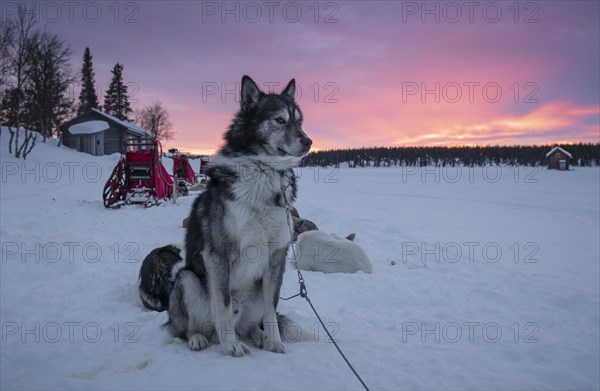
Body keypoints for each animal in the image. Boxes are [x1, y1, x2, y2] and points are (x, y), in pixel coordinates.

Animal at [139, 75, 312, 356]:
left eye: (299, 121)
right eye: (279, 120)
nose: (309, 142)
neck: (264, 172)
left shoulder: (276, 258)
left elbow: (271, 312)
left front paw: (274, 341)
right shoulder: (219, 254)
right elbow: (223, 305)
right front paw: (230, 344)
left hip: (256, 291)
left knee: (249, 325)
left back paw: (257, 336)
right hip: (186, 280)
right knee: (186, 328)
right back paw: (199, 338)